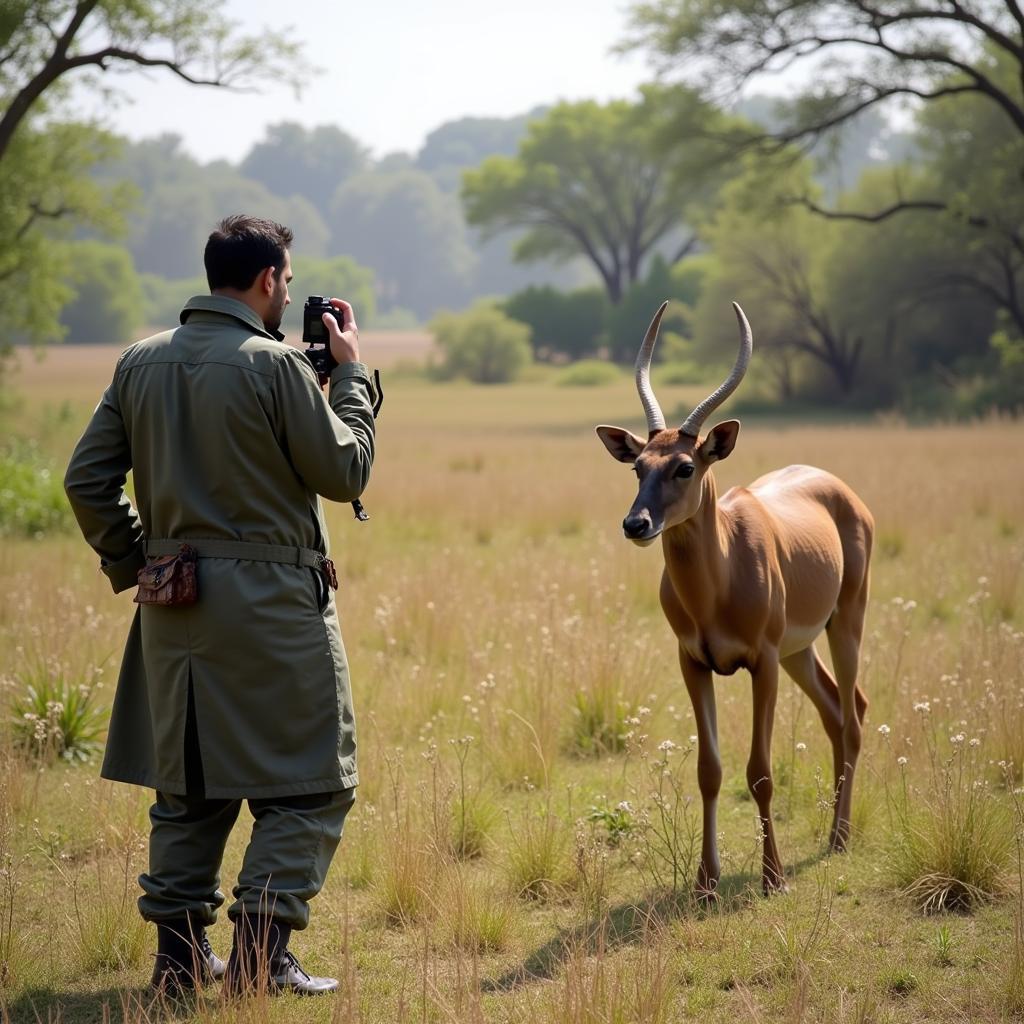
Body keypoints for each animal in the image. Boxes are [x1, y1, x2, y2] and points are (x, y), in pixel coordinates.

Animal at [598, 301, 872, 897]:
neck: (717, 585)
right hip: (800, 651)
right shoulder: (694, 661)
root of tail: (841, 490)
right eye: (638, 466)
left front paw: (773, 878)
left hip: (844, 622)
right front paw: (706, 880)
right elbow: (711, 770)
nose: (636, 524)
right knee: (836, 709)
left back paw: (840, 839)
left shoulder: (760, 662)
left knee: (854, 715)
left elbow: (760, 772)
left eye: (685, 465)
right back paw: (832, 833)